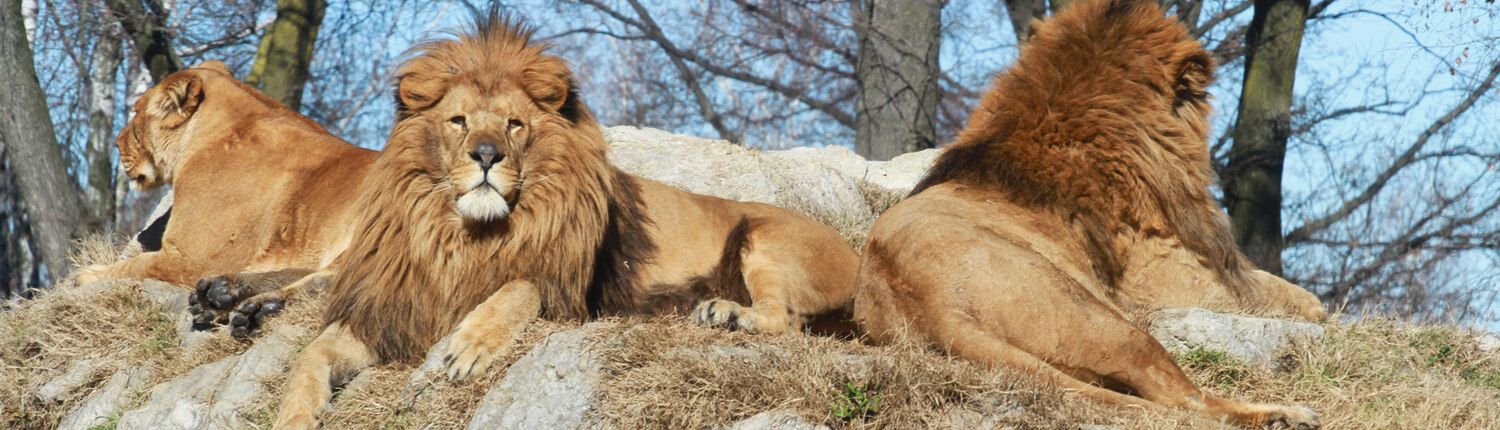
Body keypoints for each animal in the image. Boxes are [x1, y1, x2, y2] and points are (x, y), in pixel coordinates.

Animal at [74, 62, 375, 334]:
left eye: (136, 111)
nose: (116, 142)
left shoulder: (190, 259)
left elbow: (134, 266)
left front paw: (88, 275)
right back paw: (221, 293)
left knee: (333, 283)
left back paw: (256, 306)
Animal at [271, 16, 859, 429]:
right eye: (458, 120)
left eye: (515, 124)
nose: (487, 155)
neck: (464, 237)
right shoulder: (396, 314)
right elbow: (309, 357)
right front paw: (293, 416)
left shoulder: (570, 297)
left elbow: (518, 288)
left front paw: (469, 346)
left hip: (765, 238)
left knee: (786, 320)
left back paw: (727, 314)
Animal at [852, 1, 1322, 428]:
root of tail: (936, 310)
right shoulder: (1175, 276)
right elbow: (1285, 294)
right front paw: (1315, 308)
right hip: (1109, 322)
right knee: (1185, 401)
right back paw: (1286, 414)